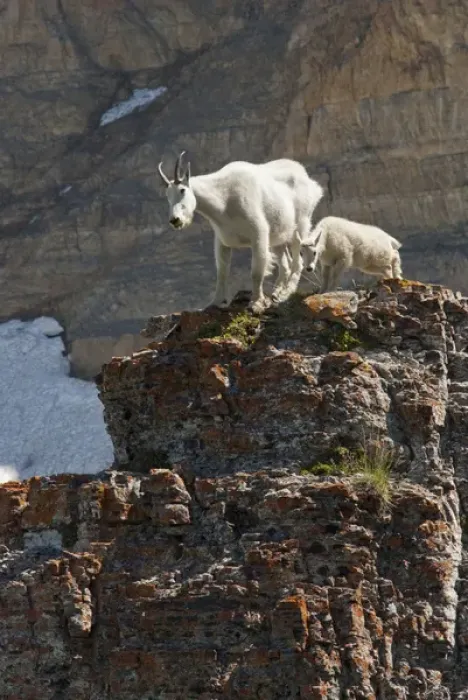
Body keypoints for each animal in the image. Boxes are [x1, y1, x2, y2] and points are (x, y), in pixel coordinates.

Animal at [158, 152, 323, 313]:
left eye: (182, 190)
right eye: (167, 195)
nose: (175, 220)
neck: (223, 198)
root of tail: (311, 183)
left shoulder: (259, 234)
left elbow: (256, 271)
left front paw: (256, 303)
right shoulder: (222, 240)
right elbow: (222, 272)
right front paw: (215, 303)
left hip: (301, 225)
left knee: (298, 262)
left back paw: (286, 294)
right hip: (278, 235)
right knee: (285, 264)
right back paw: (276, 294)